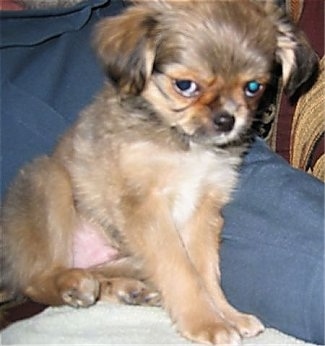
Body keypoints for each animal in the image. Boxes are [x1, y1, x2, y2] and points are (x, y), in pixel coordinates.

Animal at [0, 0, 316, 344]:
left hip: (123, 257)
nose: (226, 120)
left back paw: (126, 290)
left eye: (253, 88)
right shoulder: (146, 207)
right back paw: (72, 285)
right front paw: (207, 322)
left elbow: (205, 273)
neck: (186, 144)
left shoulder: (202, 210)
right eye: (185, 86)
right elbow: (182, 271)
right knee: (35, 280)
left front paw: (226, 314)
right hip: (49, 178)